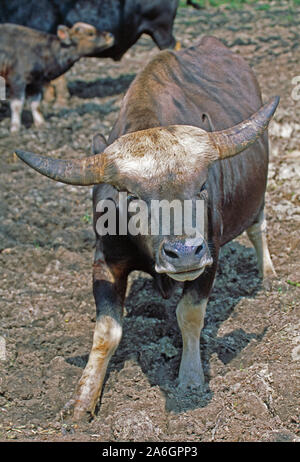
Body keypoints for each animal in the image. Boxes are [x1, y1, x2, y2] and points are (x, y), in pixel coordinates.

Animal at [15, 38, 278, 422]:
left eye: (201, 186)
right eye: (134, 195)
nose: (183, 252)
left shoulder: (210, 257)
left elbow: (190, 315)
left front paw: (190, 379)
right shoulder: (105, 260)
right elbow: (106, 332)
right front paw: (82, 401)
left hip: (256, 200)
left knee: (259, 228)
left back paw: (269, 274)